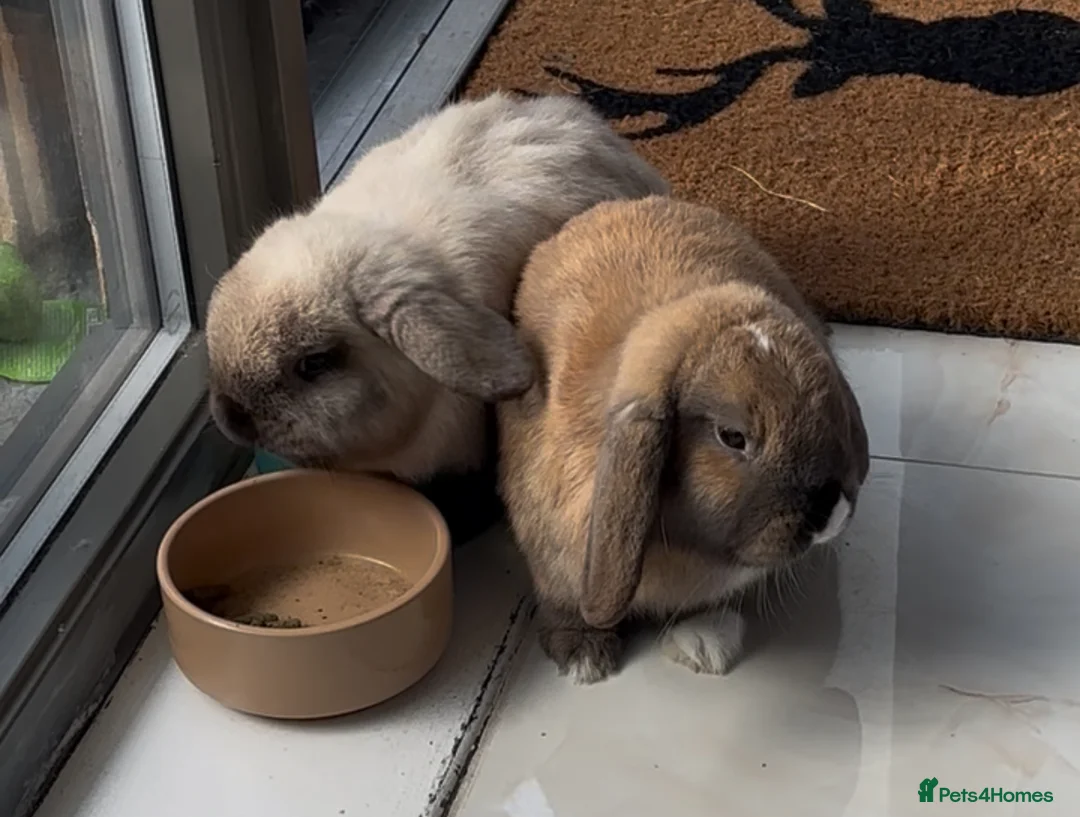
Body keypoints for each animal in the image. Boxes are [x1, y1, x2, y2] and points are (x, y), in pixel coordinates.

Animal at [497, 196, 870, 684]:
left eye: (827, 408)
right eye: (732, 437)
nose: (832, 511)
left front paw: (707, 643)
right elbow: (563, 602)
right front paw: (584, 658)